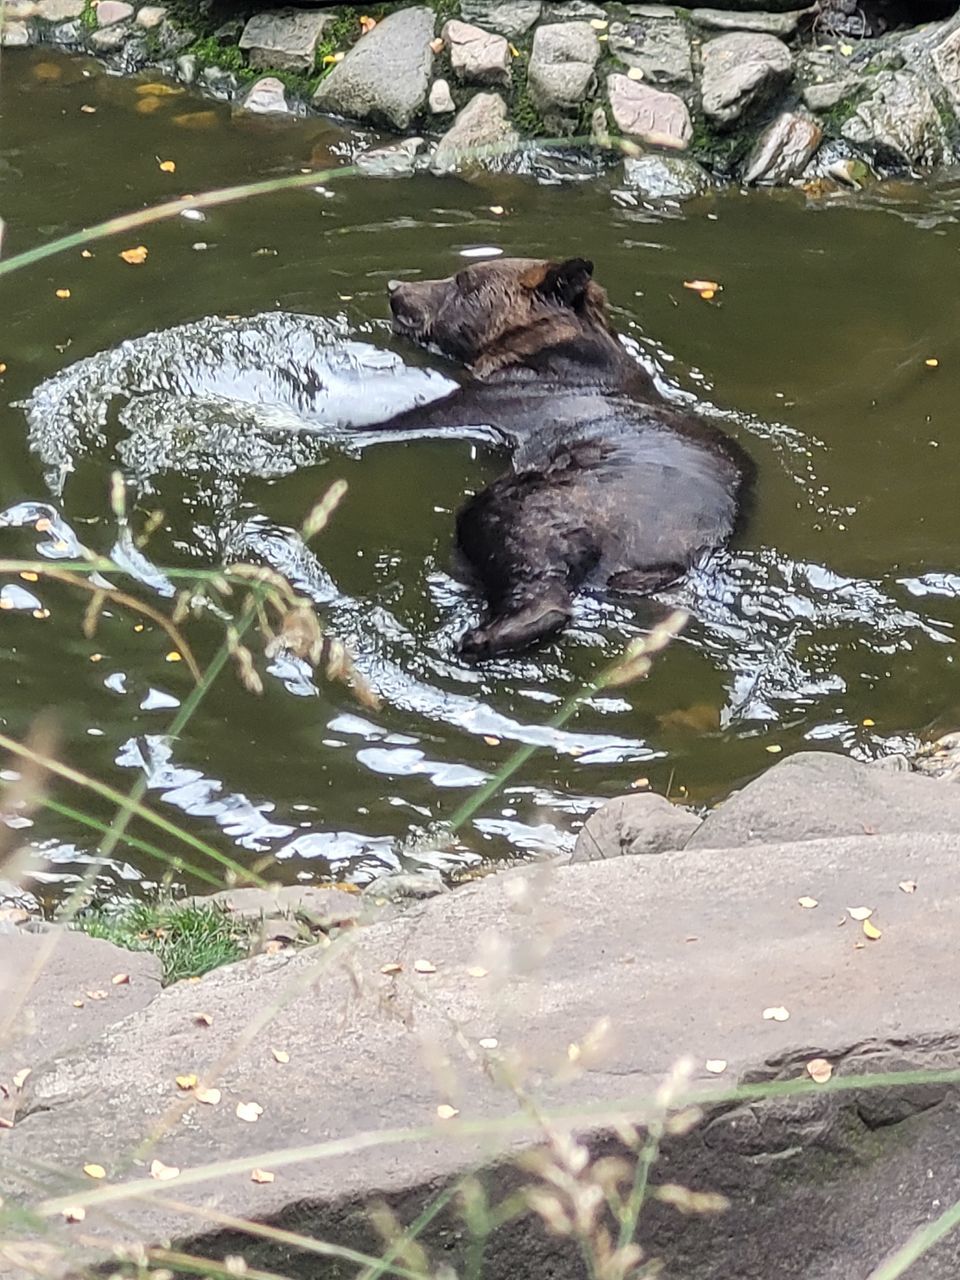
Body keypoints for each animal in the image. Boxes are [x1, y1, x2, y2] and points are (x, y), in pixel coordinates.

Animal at [381, 259, 752, 660]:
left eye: (464, 282)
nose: (395, 287)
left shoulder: (508, 394)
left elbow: (433, 411)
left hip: (565, 500)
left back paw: (484, 636)